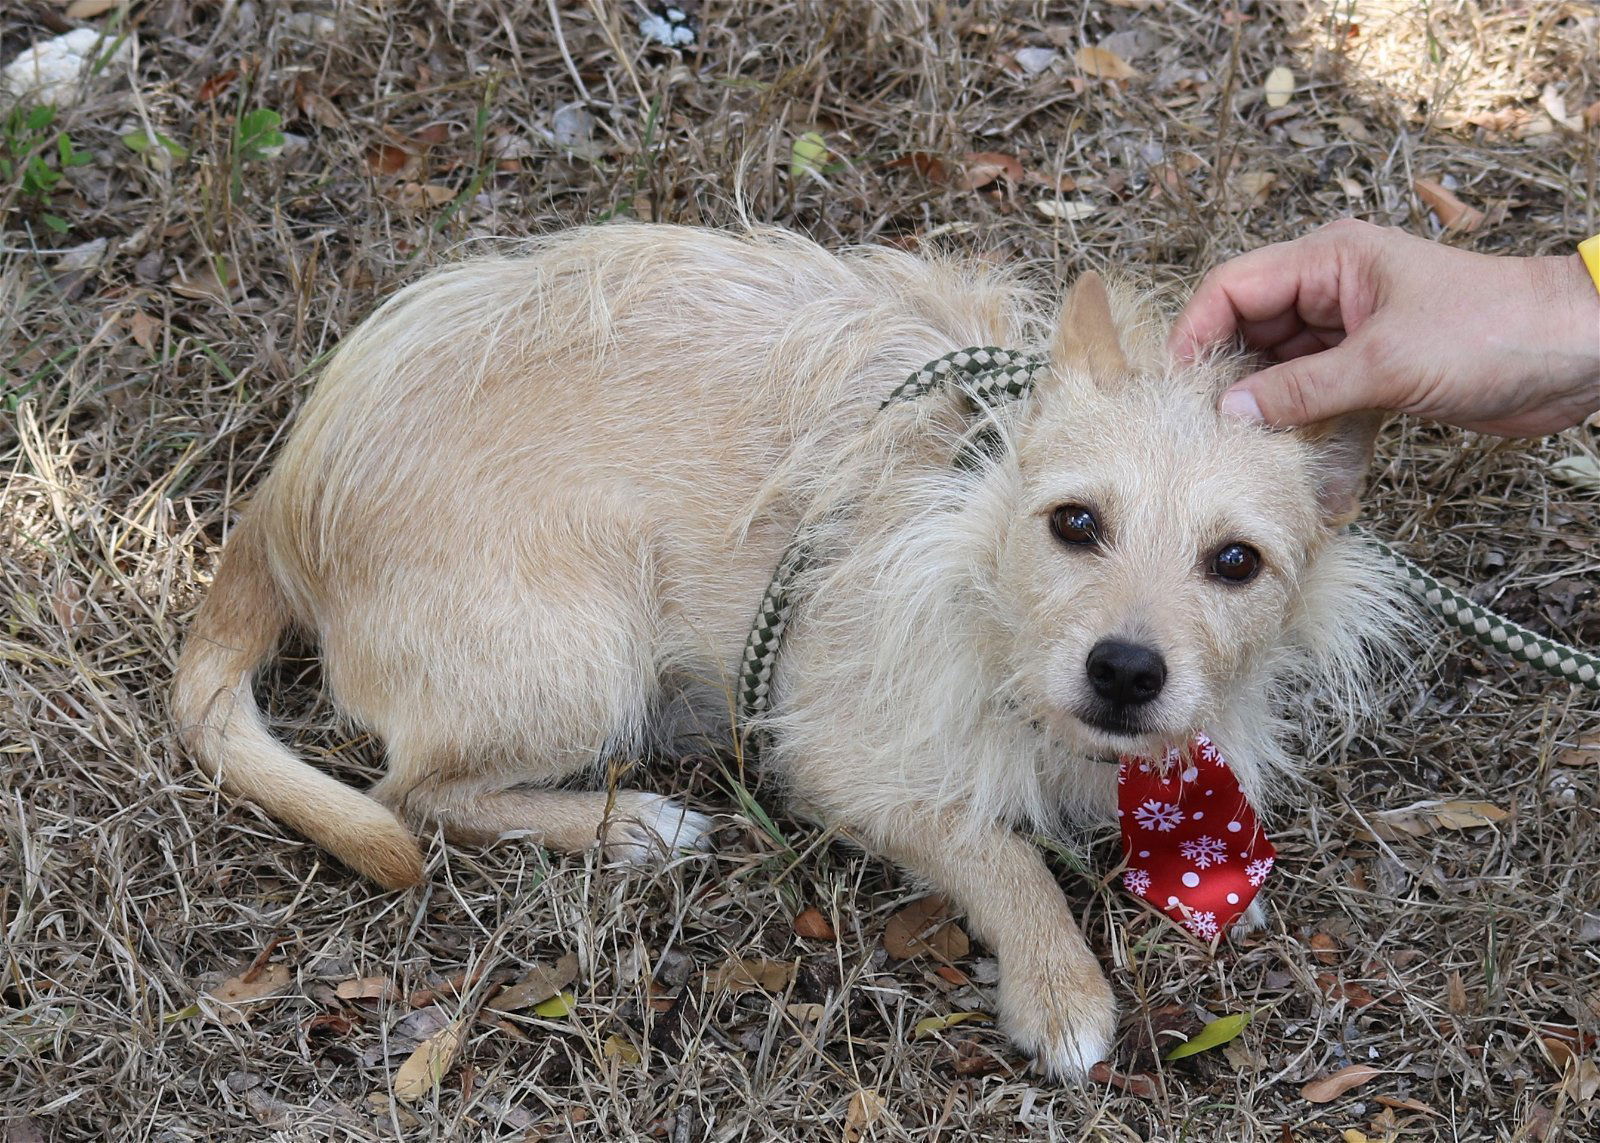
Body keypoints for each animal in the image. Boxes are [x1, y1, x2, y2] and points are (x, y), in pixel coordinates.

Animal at [168, 222, 1408, 1075]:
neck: (969, 521)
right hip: (587, 655)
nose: (1125, 670)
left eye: (1235, 562)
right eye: (1074, 522)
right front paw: (1060, 986)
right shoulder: (833, 757)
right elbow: (993, 849)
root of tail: (280, 506)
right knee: (416, 797)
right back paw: (629, 826)